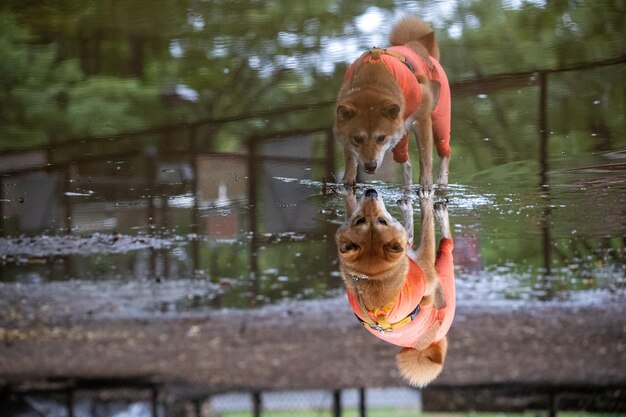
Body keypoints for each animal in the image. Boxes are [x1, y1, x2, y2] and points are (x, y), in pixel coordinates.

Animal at [332, 16, 448, 195]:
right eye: (358, 138)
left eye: (381, 138)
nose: (370, 166)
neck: (371, 82)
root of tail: (416, 44)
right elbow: (350, 157)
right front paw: (347, 181)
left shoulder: (422, 119)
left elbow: (425, 157)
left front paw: (426, 186)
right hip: (401, 131)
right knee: (406, 164)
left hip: (440, 119)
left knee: (444, 153)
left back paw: (441, 182)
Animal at [336, 189, 454, 386]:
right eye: (361, 220)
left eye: (380, 221)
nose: (370, 192)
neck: (374, 275)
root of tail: (426, 345)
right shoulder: (426, 264)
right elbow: (426, 222)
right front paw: (426, 198)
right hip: (446, 287)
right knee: (447, 244)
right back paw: (439, 211)